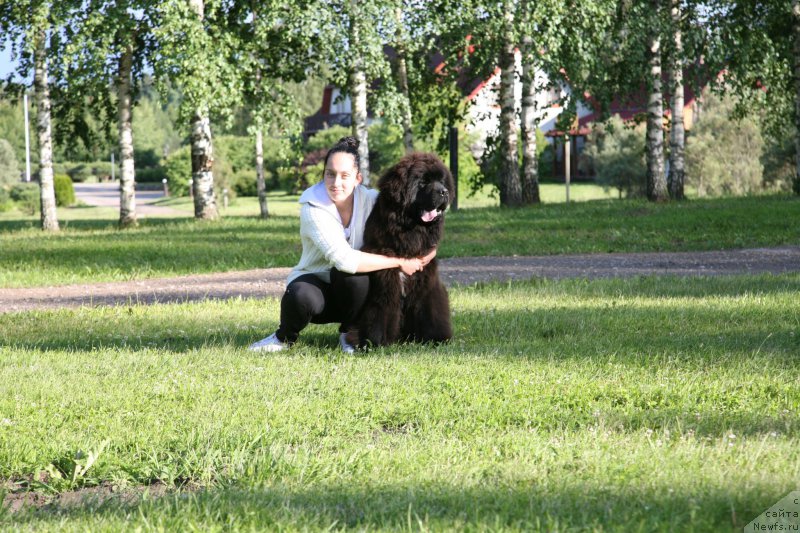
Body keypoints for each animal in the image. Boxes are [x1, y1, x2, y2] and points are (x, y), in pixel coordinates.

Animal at [348, 152, 454, 348]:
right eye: (423, 182)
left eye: (441, 181)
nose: (444, 191)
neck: (411, 233)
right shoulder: (386, 282)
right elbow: (381, 310)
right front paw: (377, 341)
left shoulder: (426, 279)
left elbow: (431, 309)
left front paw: (436, 338)